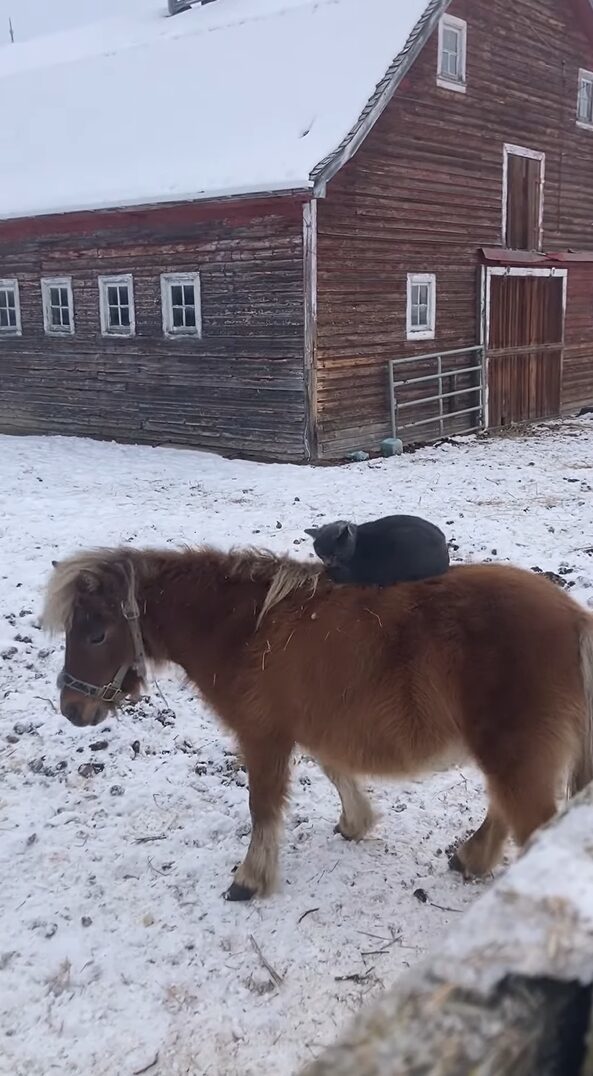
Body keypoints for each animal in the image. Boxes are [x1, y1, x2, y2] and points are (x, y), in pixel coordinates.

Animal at [41, 546, 593, 899]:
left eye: (96, 634)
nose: (72, 708)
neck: (244, 630)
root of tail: (576, 620)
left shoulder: (262, 737)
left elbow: (262, 806)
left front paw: (250, 881)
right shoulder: (311, 726)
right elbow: (334, 771)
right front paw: (355, 823)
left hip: (515, 757)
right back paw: (471, 859)